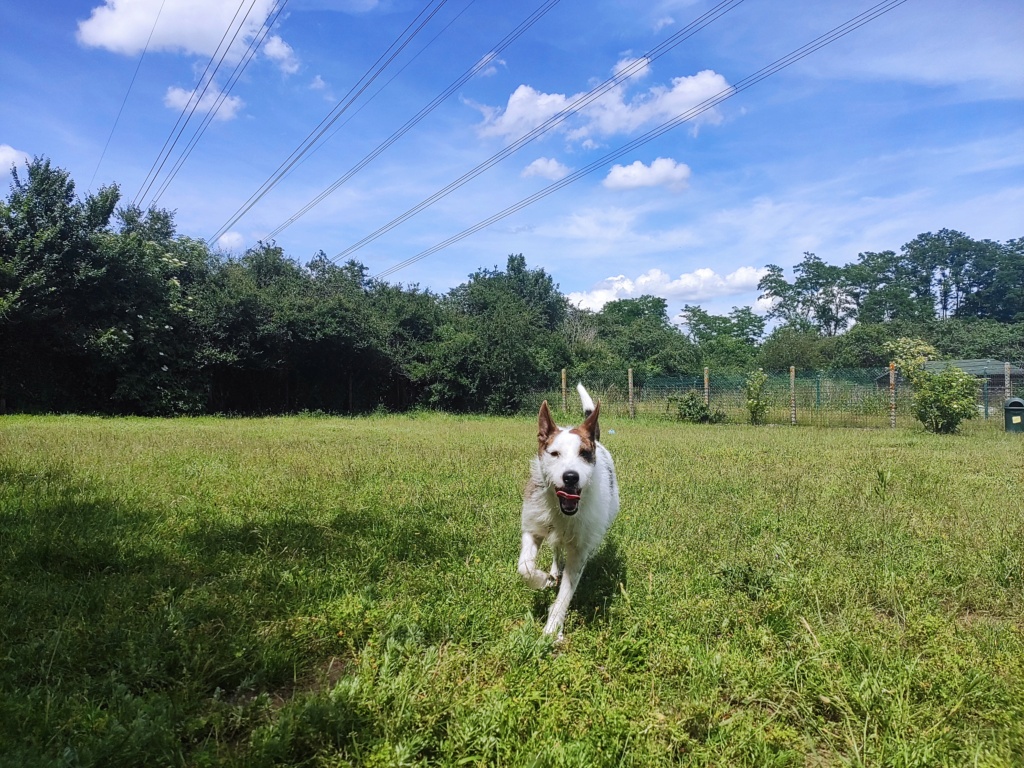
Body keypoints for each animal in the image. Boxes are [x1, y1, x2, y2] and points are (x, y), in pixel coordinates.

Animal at [516, 382, 618, 638]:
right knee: (556, 548)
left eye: (584, 453)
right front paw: (541, 579)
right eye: (554, 453)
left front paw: (552, 629)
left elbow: (565, 593)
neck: (560, 510)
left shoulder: (579, 551)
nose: (571, 477)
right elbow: (524, 568)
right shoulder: (533, 527)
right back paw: (553, 571)